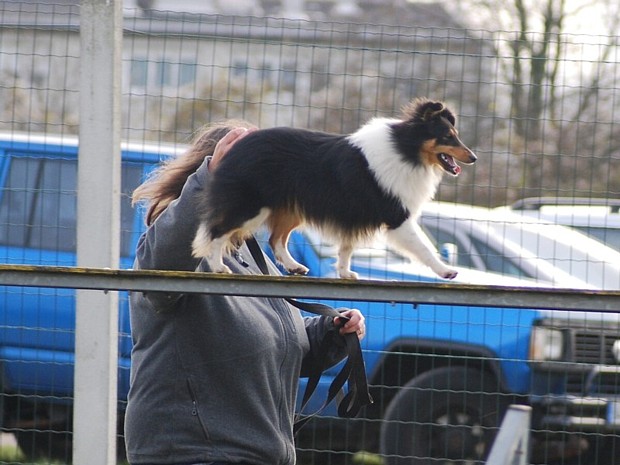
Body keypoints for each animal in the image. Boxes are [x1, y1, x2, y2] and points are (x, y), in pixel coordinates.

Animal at [191, 97, 478, 278]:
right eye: (448, 136)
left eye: (456, 135)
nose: (474, 157)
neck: (405, 148)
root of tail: (239, 144)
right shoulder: (397, 216)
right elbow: (424, 247)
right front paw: (446, 271)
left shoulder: (354, 214)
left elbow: (346, 248)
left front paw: (344, 272)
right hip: (251, 207)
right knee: (216, 231)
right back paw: (218, 267)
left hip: (290, 208)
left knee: (276, 240)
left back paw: (295, 266)